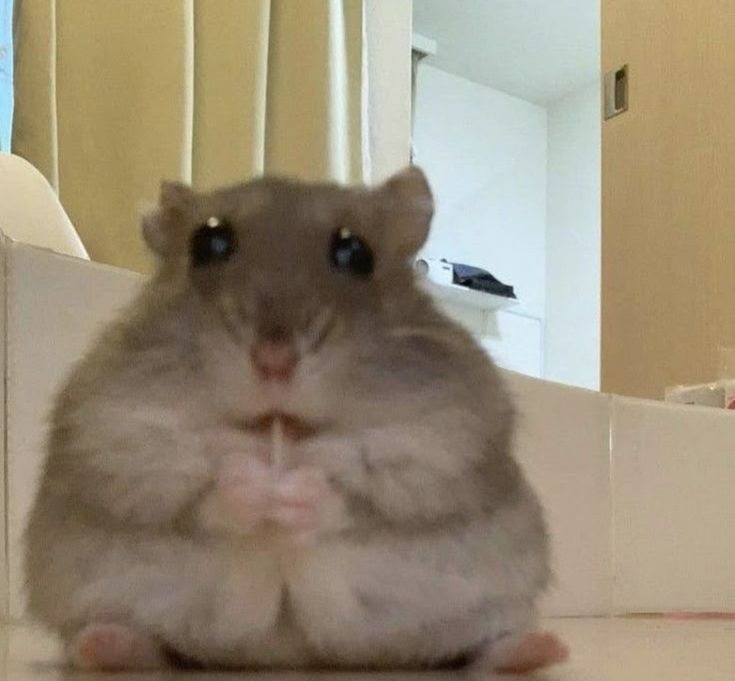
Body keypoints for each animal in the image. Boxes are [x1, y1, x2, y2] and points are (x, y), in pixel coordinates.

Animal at [24, 167, 568, 673]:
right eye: (208, 243)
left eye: (355, 252)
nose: (274, 362)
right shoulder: (117, 433)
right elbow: (202, 489)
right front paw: (252, 476)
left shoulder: (443, 441)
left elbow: (353, 490)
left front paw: (298, 484)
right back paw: (104, 645)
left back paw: (538, 649)